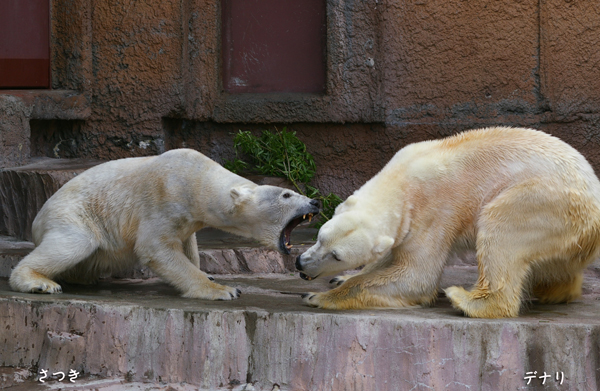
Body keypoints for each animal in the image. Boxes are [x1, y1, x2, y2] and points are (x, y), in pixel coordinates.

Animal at [9, 148, 318, 300]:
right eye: (287, 194)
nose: (315, 202)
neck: (197, 180)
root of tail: (37, 219)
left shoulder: (188, 217)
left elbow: (187, 244)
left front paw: (208, 275)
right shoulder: (164, 197)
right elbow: (155, 247)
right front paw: (223, 290)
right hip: (73, 215)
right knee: (74, 243)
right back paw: (40, 283)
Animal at [296, 128, 600, 318]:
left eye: (336, 255)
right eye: (320, 238)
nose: (300, 264)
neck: (401, 180)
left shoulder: (434, 211)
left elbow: (417, 276)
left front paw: (317, 297)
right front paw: (342, 278)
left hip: (549, 203)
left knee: (501, 228)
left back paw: (466, 300)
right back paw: (554, 291)